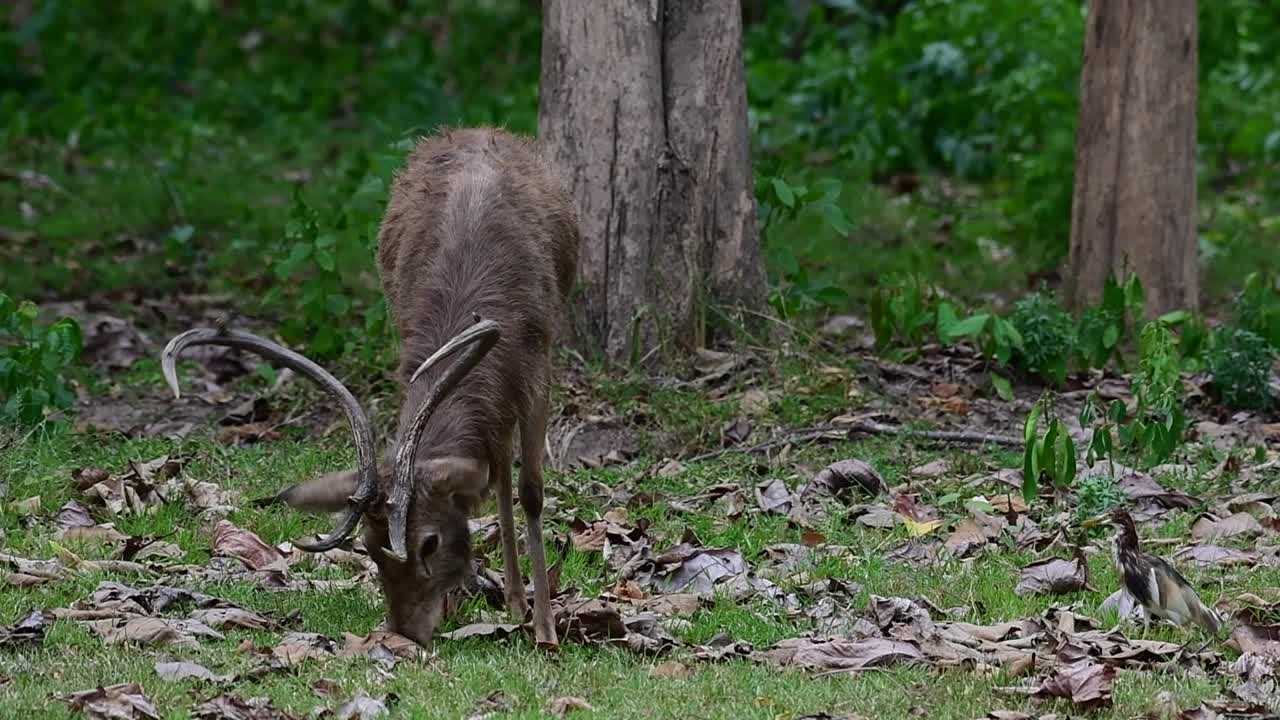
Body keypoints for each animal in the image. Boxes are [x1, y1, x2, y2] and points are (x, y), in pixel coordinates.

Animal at [160, 126, 580, 651]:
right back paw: (513, 600)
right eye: (369, 548)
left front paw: (546, 630)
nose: (404, 634)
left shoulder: (537, 357)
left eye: (429, 542)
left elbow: (531, 490)